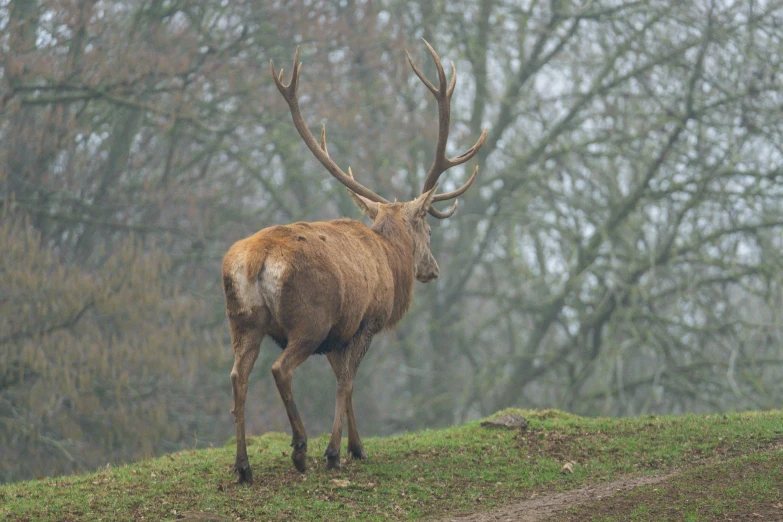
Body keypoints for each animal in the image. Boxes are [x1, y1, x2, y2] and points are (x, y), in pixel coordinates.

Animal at [224, 39, 486, 480]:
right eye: (429, 230)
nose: (432, 270)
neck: (390, 256)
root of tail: (257, 257)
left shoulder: (338, 335)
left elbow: (343, 384)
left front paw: (357, 445)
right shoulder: (365, 321)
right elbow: (347, 383)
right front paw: (337, 451)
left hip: (242, 320)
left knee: (237, 376)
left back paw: (243, 467)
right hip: (308, 319)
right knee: (281, 369)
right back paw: (300, 449)